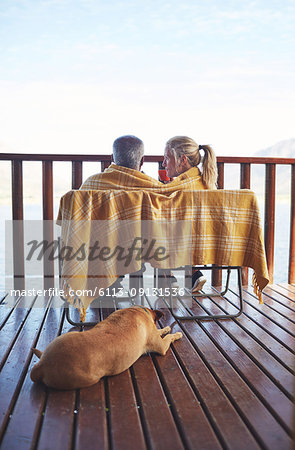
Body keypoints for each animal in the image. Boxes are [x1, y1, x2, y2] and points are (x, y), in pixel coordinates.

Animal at [30, 308, 183, 388]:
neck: (140, 310)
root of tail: (42, 365)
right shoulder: (161, 346)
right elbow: (168, 337)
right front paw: (176, 333)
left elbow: (161, 331)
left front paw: (166, 328)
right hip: (89, 378)